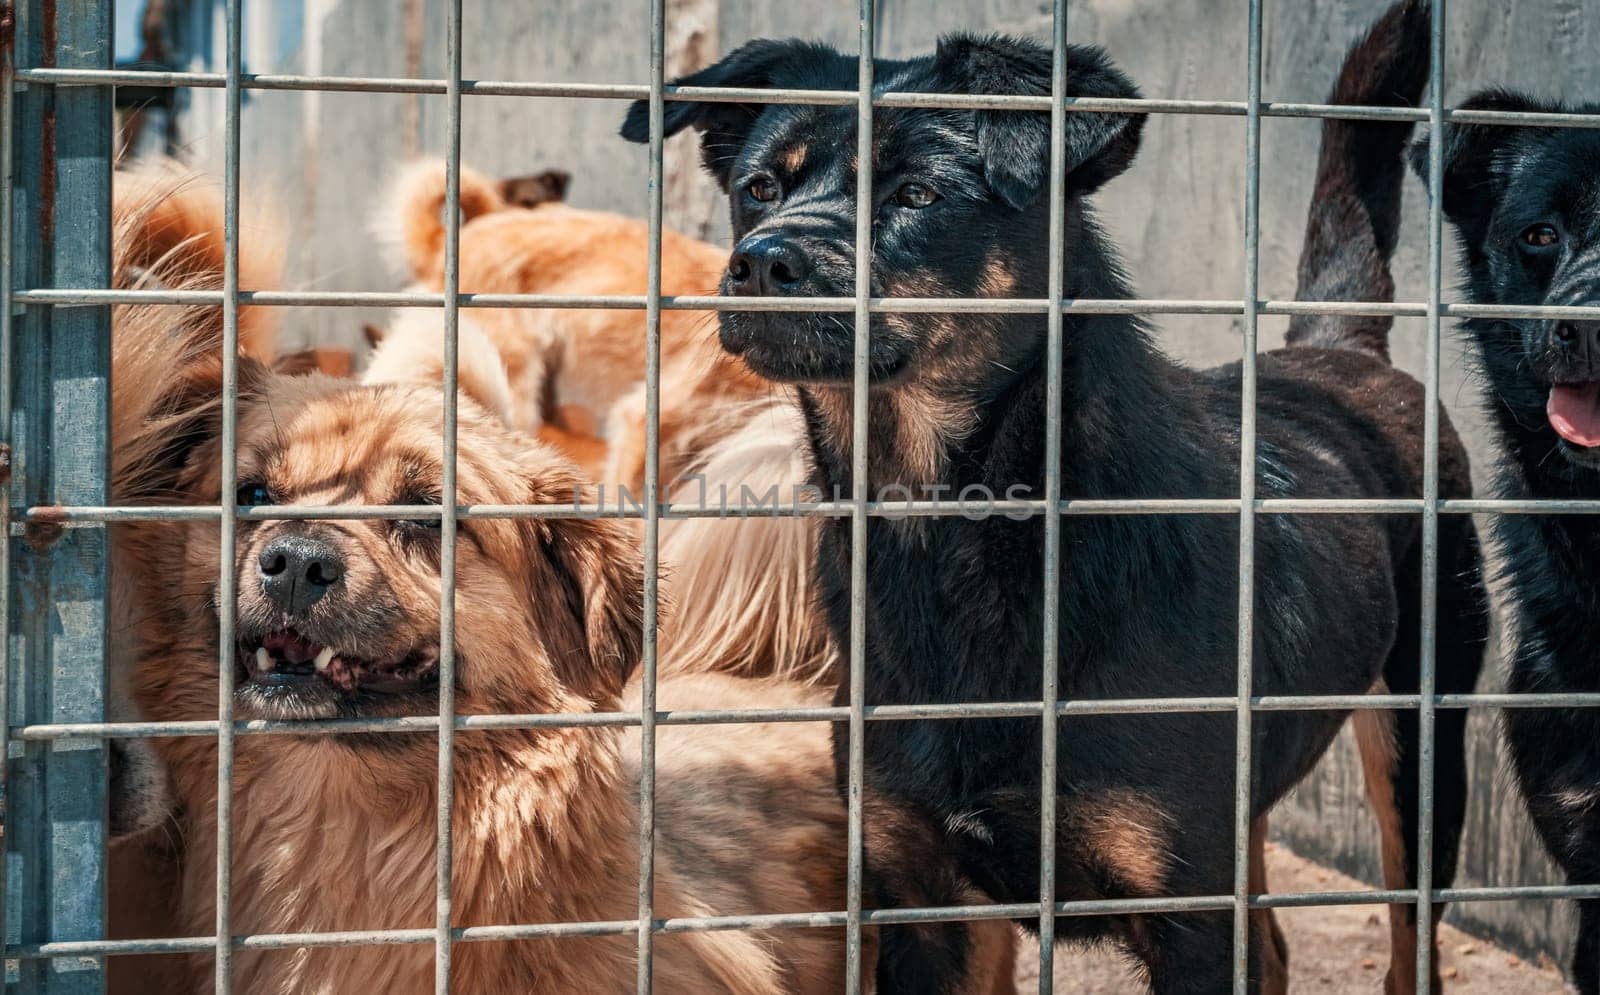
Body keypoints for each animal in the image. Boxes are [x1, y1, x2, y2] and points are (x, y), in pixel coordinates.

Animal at [624, 3, 1484, 991]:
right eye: (760, 187)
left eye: (919, 195)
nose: (759, 263)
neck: (953, 533)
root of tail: (1339, 349)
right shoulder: (923, 901)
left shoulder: (1189, 914)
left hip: (1423, 752)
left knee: (1408, 940)